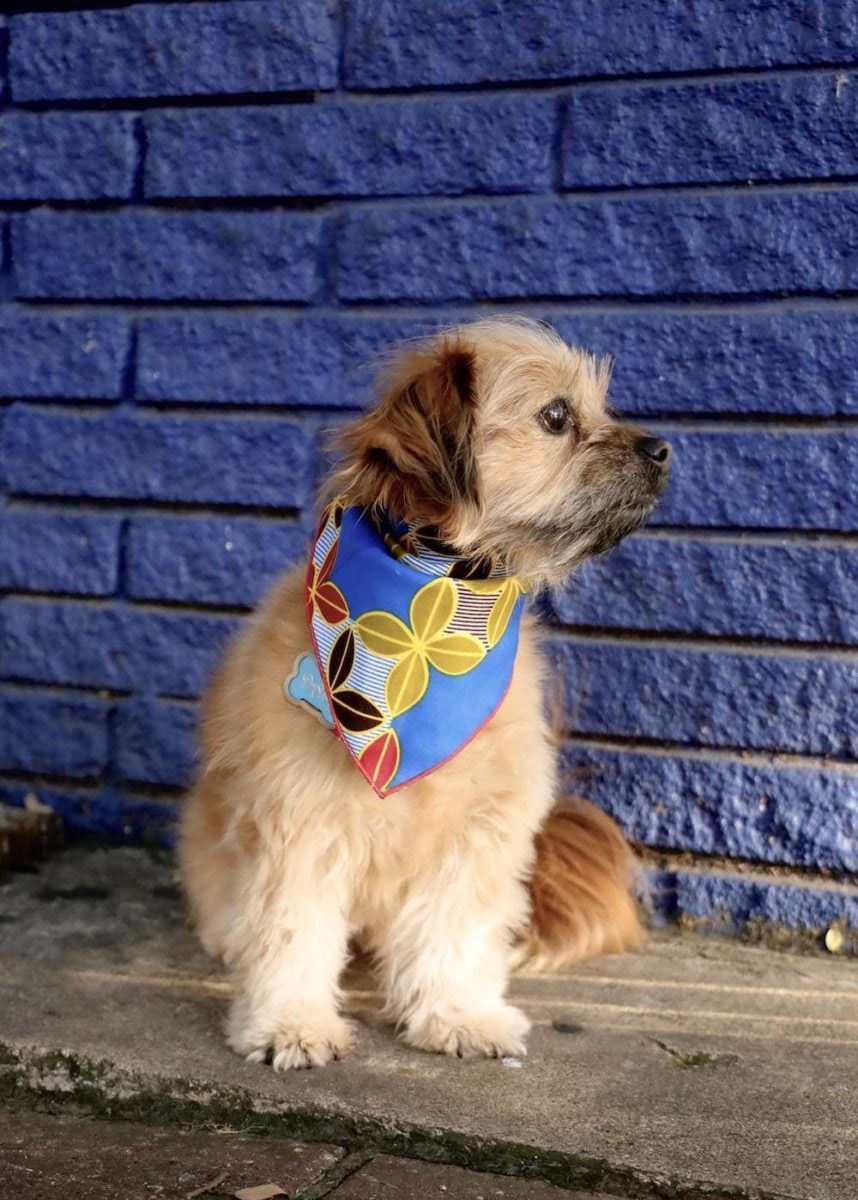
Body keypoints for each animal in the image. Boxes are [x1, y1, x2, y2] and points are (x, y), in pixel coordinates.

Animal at [181, 316, 672, 1070]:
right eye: (556, 416)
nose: (663, 449)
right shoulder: (298, 822)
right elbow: (293, 933)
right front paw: (290, 1023)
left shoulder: (480, 835)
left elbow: (456, 934)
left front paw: (458, 1015)